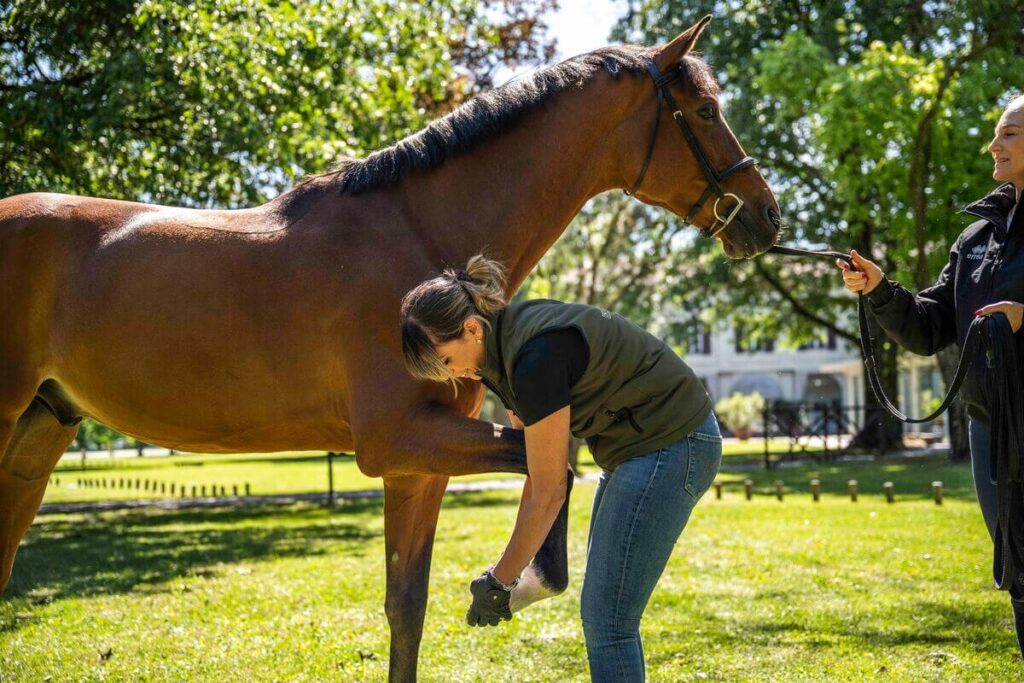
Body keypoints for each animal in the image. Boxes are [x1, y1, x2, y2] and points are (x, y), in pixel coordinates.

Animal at [0, 16, 780, 682]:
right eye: (703, 112)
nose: (767, 216)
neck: (416, 231)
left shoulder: (418, 462)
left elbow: (408, 606)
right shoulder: (398, 440)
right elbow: (551, 470)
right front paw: (516, 586)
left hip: (42, 429)